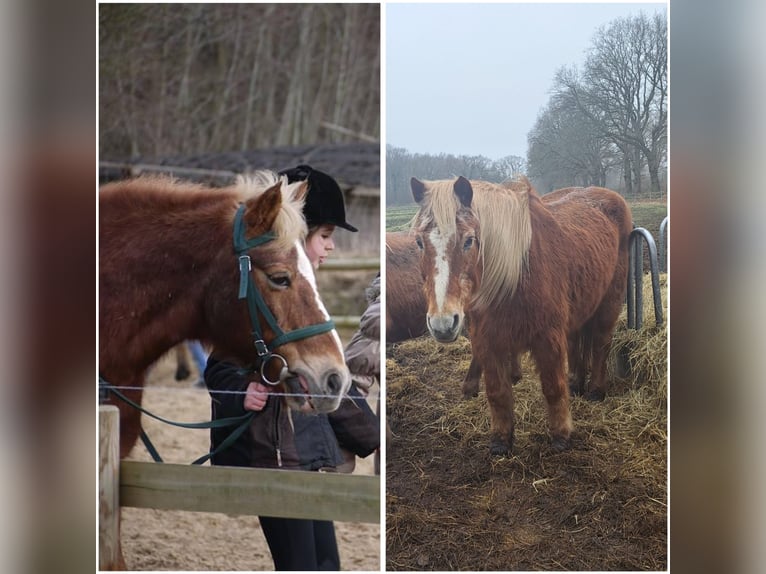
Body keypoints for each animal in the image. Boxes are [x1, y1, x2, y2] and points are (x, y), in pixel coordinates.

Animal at [412, 176, 632, 454]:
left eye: (469, 240)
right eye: (419, 242)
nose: (442, 324)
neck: (515, 275)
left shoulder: (548, 338)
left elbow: (553, 387)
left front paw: (561, 436)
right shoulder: (486, 340)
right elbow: (497, 392)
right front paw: (501, 440)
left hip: (609, 303)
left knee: (601, 344)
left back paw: (595, 391)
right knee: (576, 345)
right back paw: (576, 384)